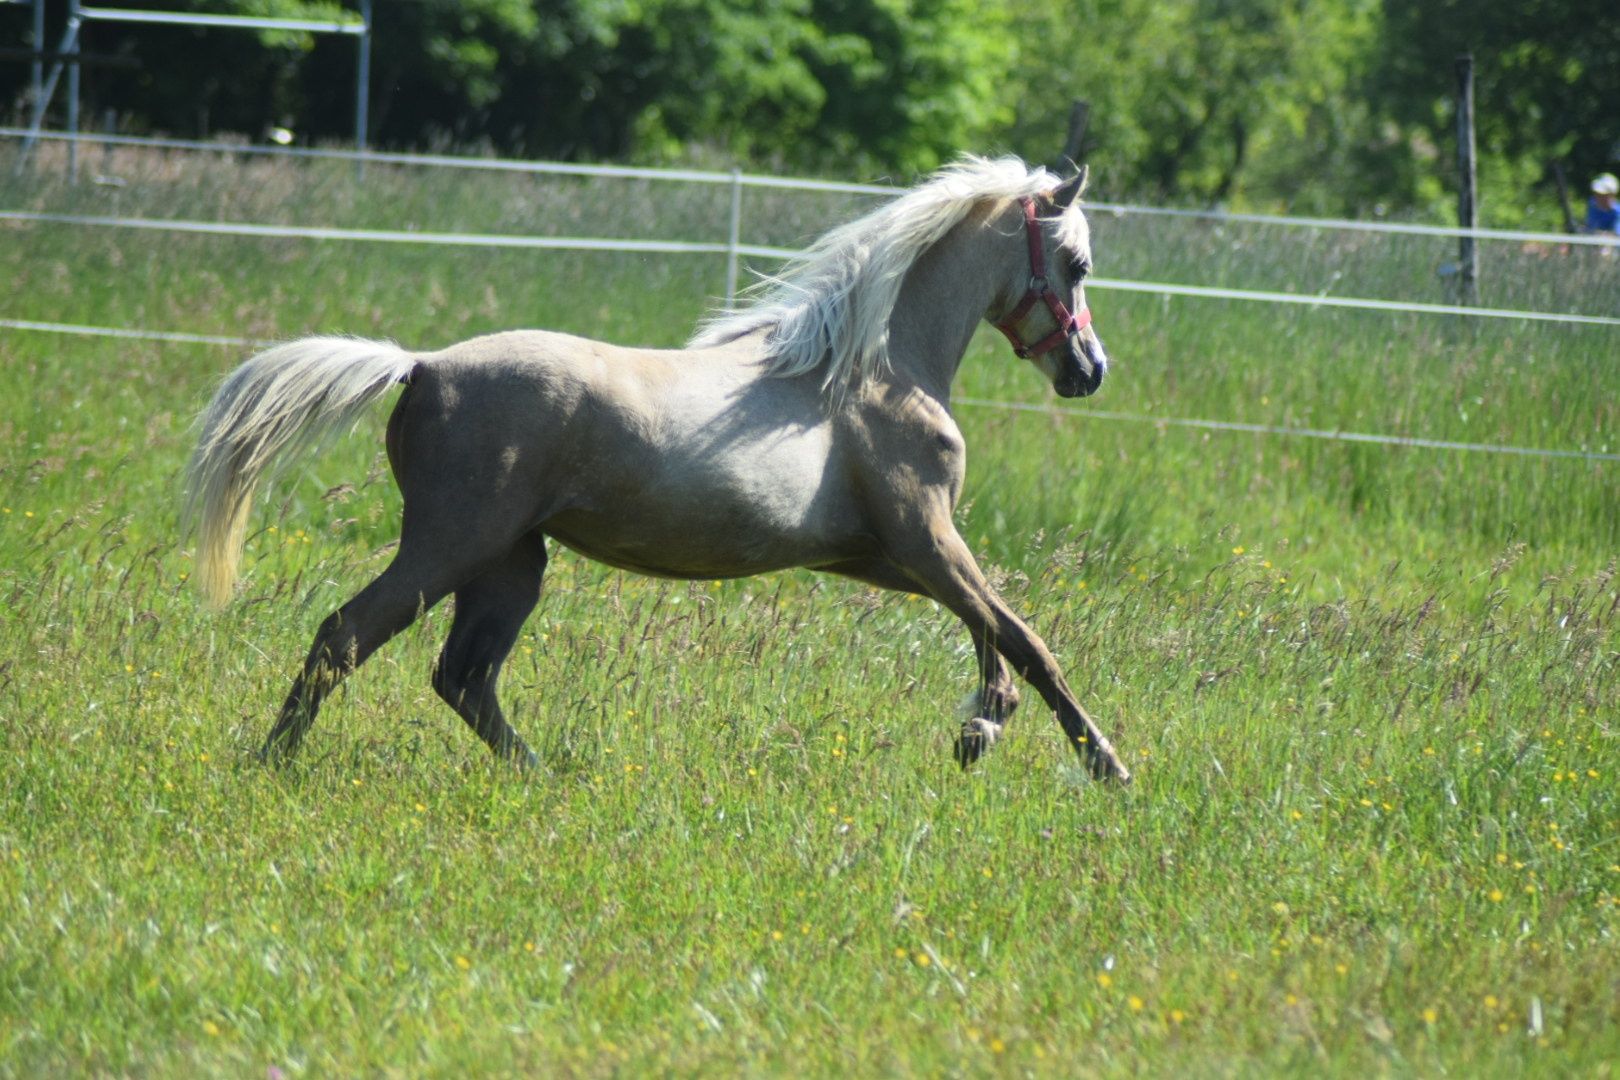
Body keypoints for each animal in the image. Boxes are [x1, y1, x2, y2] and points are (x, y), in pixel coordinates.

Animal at [186, 153, 1127, 786]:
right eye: (1077, 263)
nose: (1090, 370)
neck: (872, 372)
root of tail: (420, 367)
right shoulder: (924, 535)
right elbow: (1026, 638)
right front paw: (1103, 763)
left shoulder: (880, 554)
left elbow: (989, 625)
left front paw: (982, 728)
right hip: (450, 547)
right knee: (347, 636)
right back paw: (272, 763)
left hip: (512, 563)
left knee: (464, 677)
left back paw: (544, 778)